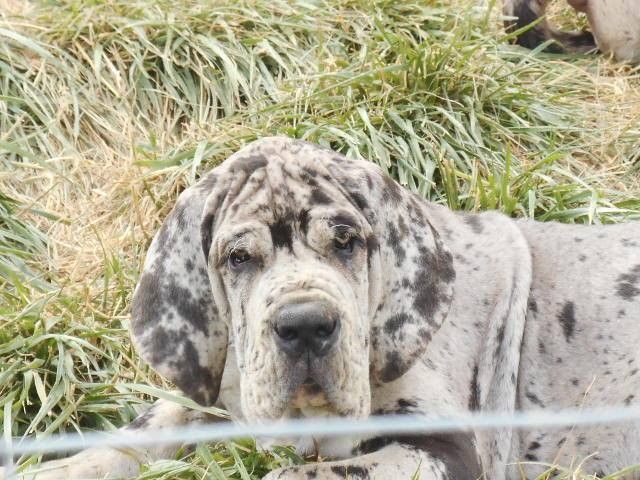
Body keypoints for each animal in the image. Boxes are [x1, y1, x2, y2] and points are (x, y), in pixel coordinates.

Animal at [3, 136, 640, 479]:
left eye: (347, 242)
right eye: (239, 257)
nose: (306, 326)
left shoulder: (441, 447)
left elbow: (297, 472)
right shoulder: (219, 389)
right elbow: (143, 430)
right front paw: (58, 466)